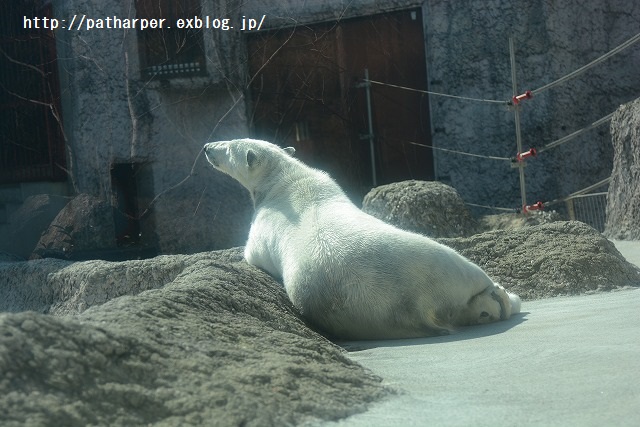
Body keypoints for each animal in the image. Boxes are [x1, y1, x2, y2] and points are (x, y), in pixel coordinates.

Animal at [205, 140, 520, 342]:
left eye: (228, 145)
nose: (207, 147)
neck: (285, 177)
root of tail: (415, 306)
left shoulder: (264, 225)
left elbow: (250, 253)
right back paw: (492, 306)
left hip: (436, 260)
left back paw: (508, 297)